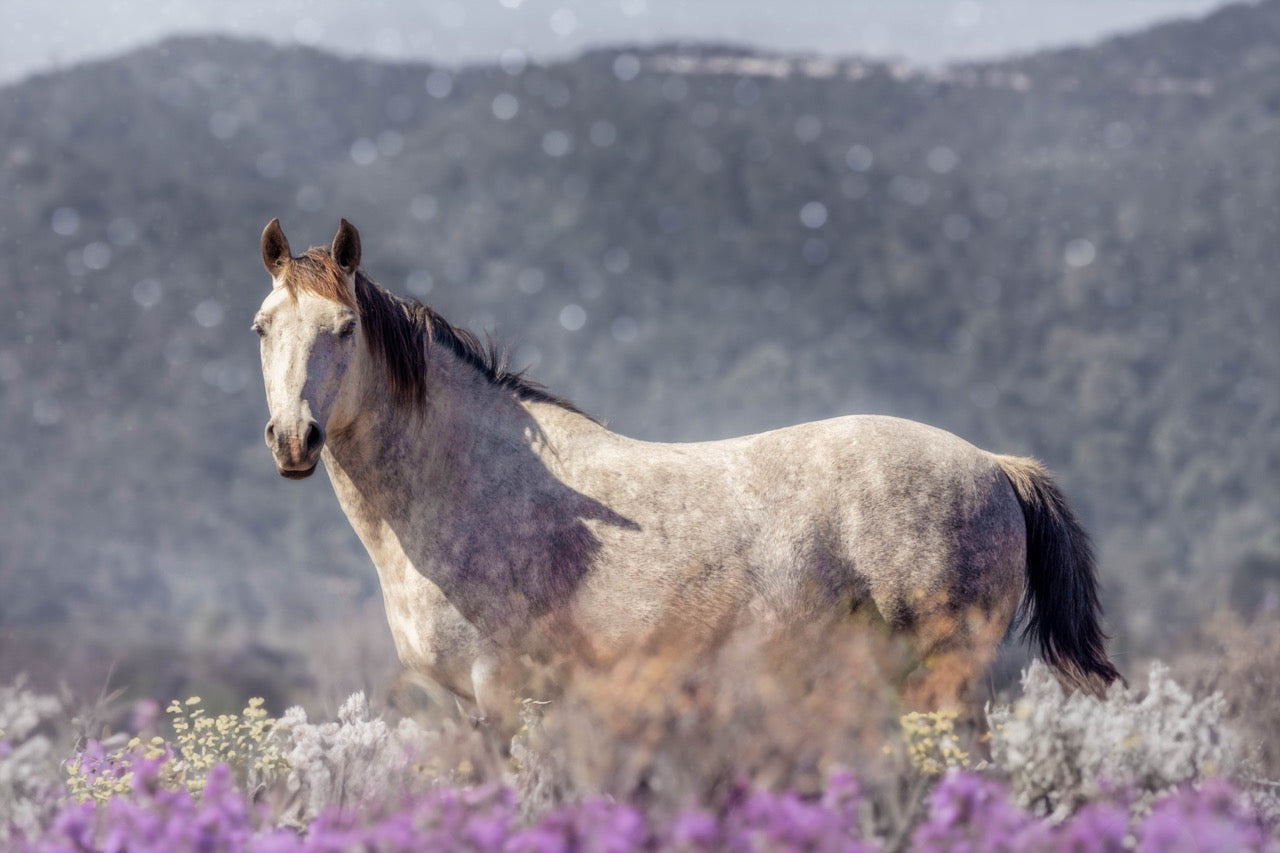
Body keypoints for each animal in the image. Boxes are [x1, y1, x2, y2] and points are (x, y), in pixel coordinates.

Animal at [252, 217, 1121, 732]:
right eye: (263, 326)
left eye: (346, 326)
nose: (294, 440)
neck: (468, 484)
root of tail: (996, 467)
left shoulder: (508, 695)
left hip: (945, 680)